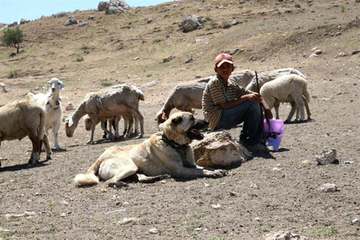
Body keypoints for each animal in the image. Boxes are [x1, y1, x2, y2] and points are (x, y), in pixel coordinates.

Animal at [74, 111, 225, 187]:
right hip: (129, 166)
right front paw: (213, 173)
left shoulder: (192, 165)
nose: (207, 121)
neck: (174, 144)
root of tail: (100, 159)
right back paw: (121, 184)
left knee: (140, 178)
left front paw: (215, 169)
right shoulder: (181, 170)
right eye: (192, 119)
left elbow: (203, 167)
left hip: (136, 168)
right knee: (110, 181)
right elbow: (200, 171)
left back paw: (157, 178)